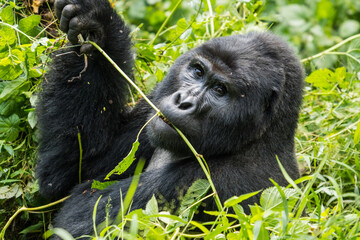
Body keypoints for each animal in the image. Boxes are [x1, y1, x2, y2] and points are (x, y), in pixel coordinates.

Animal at [35, 0, 304, 237]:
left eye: (220, 90)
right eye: (197, 71)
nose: (183, 101)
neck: (257, 138)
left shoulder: (213, 184)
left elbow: (75, 220)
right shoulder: (153, 104)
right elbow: (69, 171)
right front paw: (99, 26)